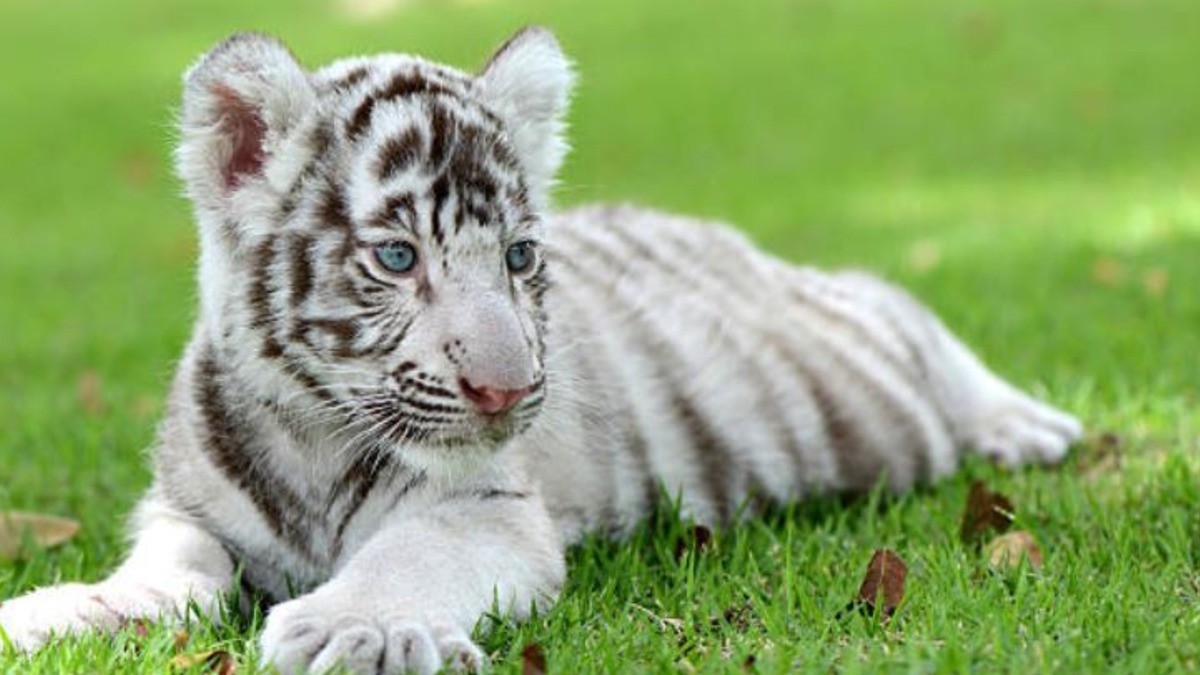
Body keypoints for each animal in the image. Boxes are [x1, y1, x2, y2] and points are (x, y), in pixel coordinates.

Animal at [0, 27, 1082, 674]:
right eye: (397, 257)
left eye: (519, 255)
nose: (508, 391)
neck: (315, 436)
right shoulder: (187, 515)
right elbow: (163, 577)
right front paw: (55, 614)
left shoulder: (487, 508)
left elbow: (409, 553)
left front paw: (361, 629)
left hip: (864, 363)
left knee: (897, 301)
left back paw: (1028, 425)